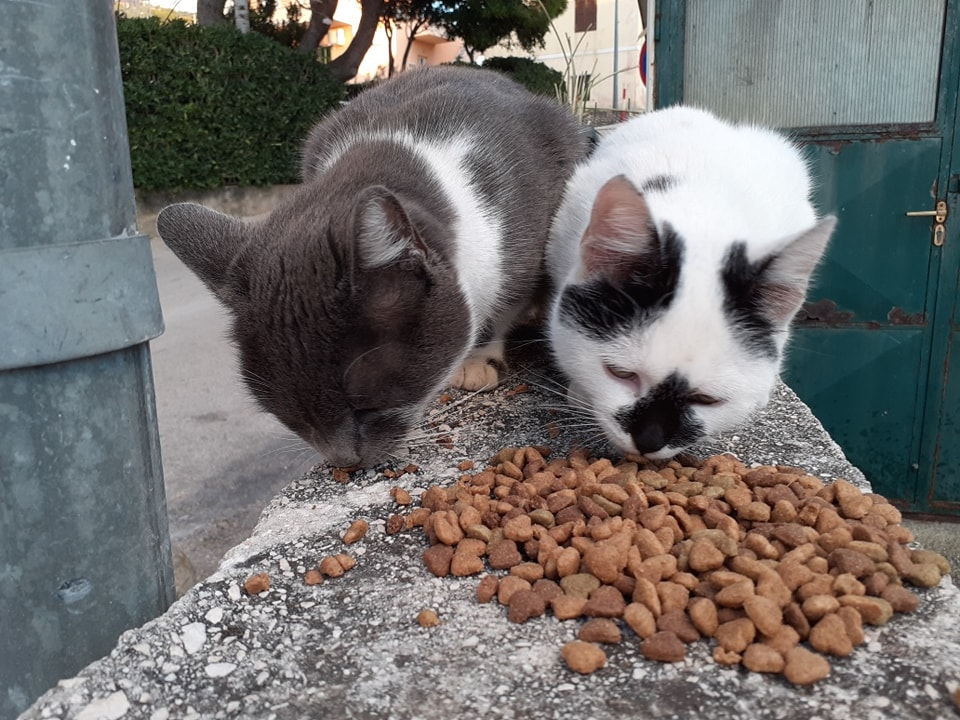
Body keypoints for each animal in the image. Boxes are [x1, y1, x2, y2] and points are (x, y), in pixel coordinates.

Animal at [158, 66, 588, 466]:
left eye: (366, 405)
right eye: (292, 416)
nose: (344, 461)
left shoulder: (523, 240)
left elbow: (505, 302)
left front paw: (474, 362)